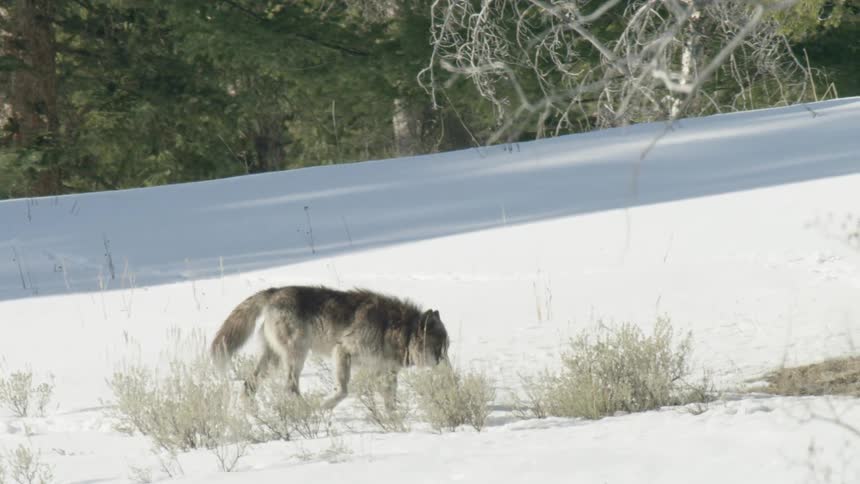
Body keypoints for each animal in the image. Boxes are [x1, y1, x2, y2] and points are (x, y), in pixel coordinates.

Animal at [210, 285, 450, 410]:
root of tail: (274, 292)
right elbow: (343, 390)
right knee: (290, 388)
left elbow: (390, 402)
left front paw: (395, 422)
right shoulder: (343, 350)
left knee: (249, 384)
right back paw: (306, 410)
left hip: (274, 359)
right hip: (297, 356)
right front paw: (325, 406)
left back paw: (250, 413)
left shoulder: (386, 372)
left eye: (447, 349)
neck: (395, 330)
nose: (452, 375)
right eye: (440, 350)